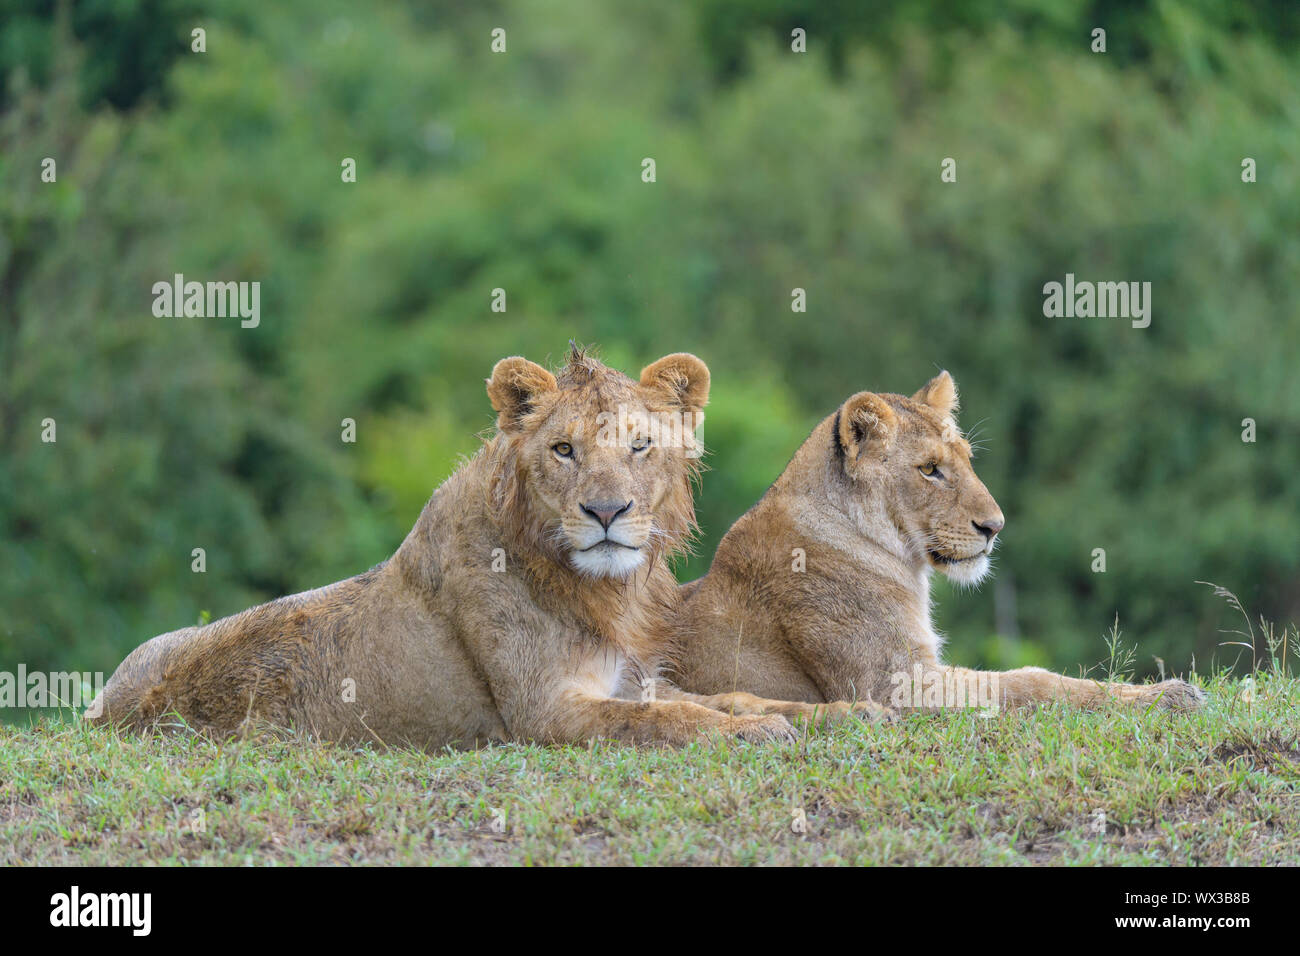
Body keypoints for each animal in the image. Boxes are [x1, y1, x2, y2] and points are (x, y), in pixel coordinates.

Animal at [87, 347, 878, 750]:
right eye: (563, 450)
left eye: (639, 445)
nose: (607, 511)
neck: (599, 587)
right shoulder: (545, 713)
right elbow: (673, 719)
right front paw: (762, 730)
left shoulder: (631, 675)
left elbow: (732, 693)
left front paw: (840, 712)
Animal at [672, 371, 1206, 714]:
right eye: (929, 469)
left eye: (967, 459)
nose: (995, 526)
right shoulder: (894, 685)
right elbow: (1031, 681)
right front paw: (1168, 695)